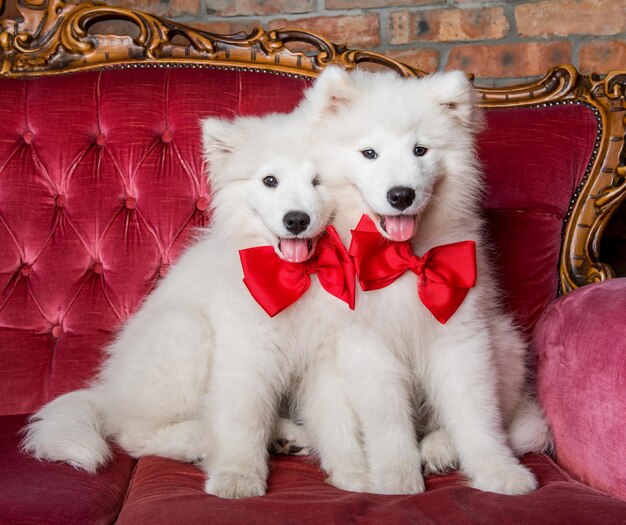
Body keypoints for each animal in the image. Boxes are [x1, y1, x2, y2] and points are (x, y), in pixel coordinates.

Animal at [24, 109, 366, 496]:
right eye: (270, 181)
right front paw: (237, 478)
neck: (291, 276)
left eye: (318, 181)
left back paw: (284, 436)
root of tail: (107, 393)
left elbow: (339, 420)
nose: (296, 220)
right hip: (183, 332)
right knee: (135, 435)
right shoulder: (245, 352)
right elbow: (243, 419)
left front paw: (355, 474)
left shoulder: (327, 356)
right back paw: (202, 439)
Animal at [296, 67, 544, 494]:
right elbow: (386, 419)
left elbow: (476, 413)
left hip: (506, 343)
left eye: (420, 151)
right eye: (369, 153)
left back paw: (439, 449)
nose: (401, 195)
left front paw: (499, 472)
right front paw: (397, 478)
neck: (400, 258)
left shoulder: (461, 334)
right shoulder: (364, 344)